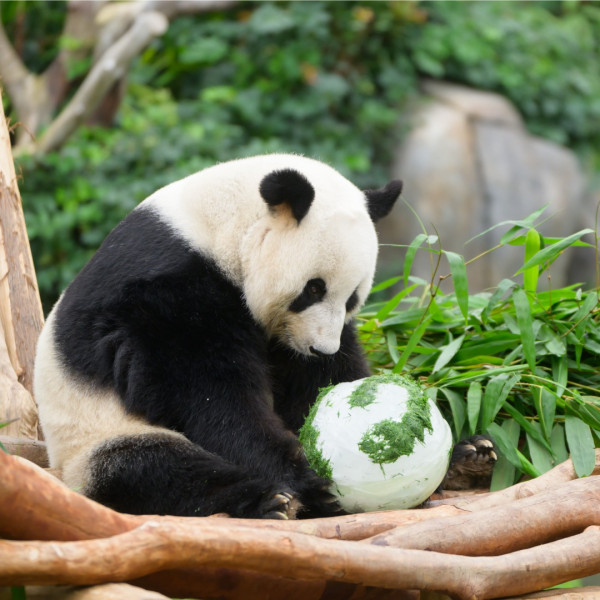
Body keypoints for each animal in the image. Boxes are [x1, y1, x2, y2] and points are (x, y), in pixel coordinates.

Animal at [32, 152, 492, 516]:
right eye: (313, 289)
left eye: (353, 298)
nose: (320, 348)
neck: (221, 228)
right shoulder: (168, 290)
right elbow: (207, 394)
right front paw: (308, 476)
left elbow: (310, 386)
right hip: (93, 437)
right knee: (154, 469)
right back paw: (271, 499)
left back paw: (468, 457)